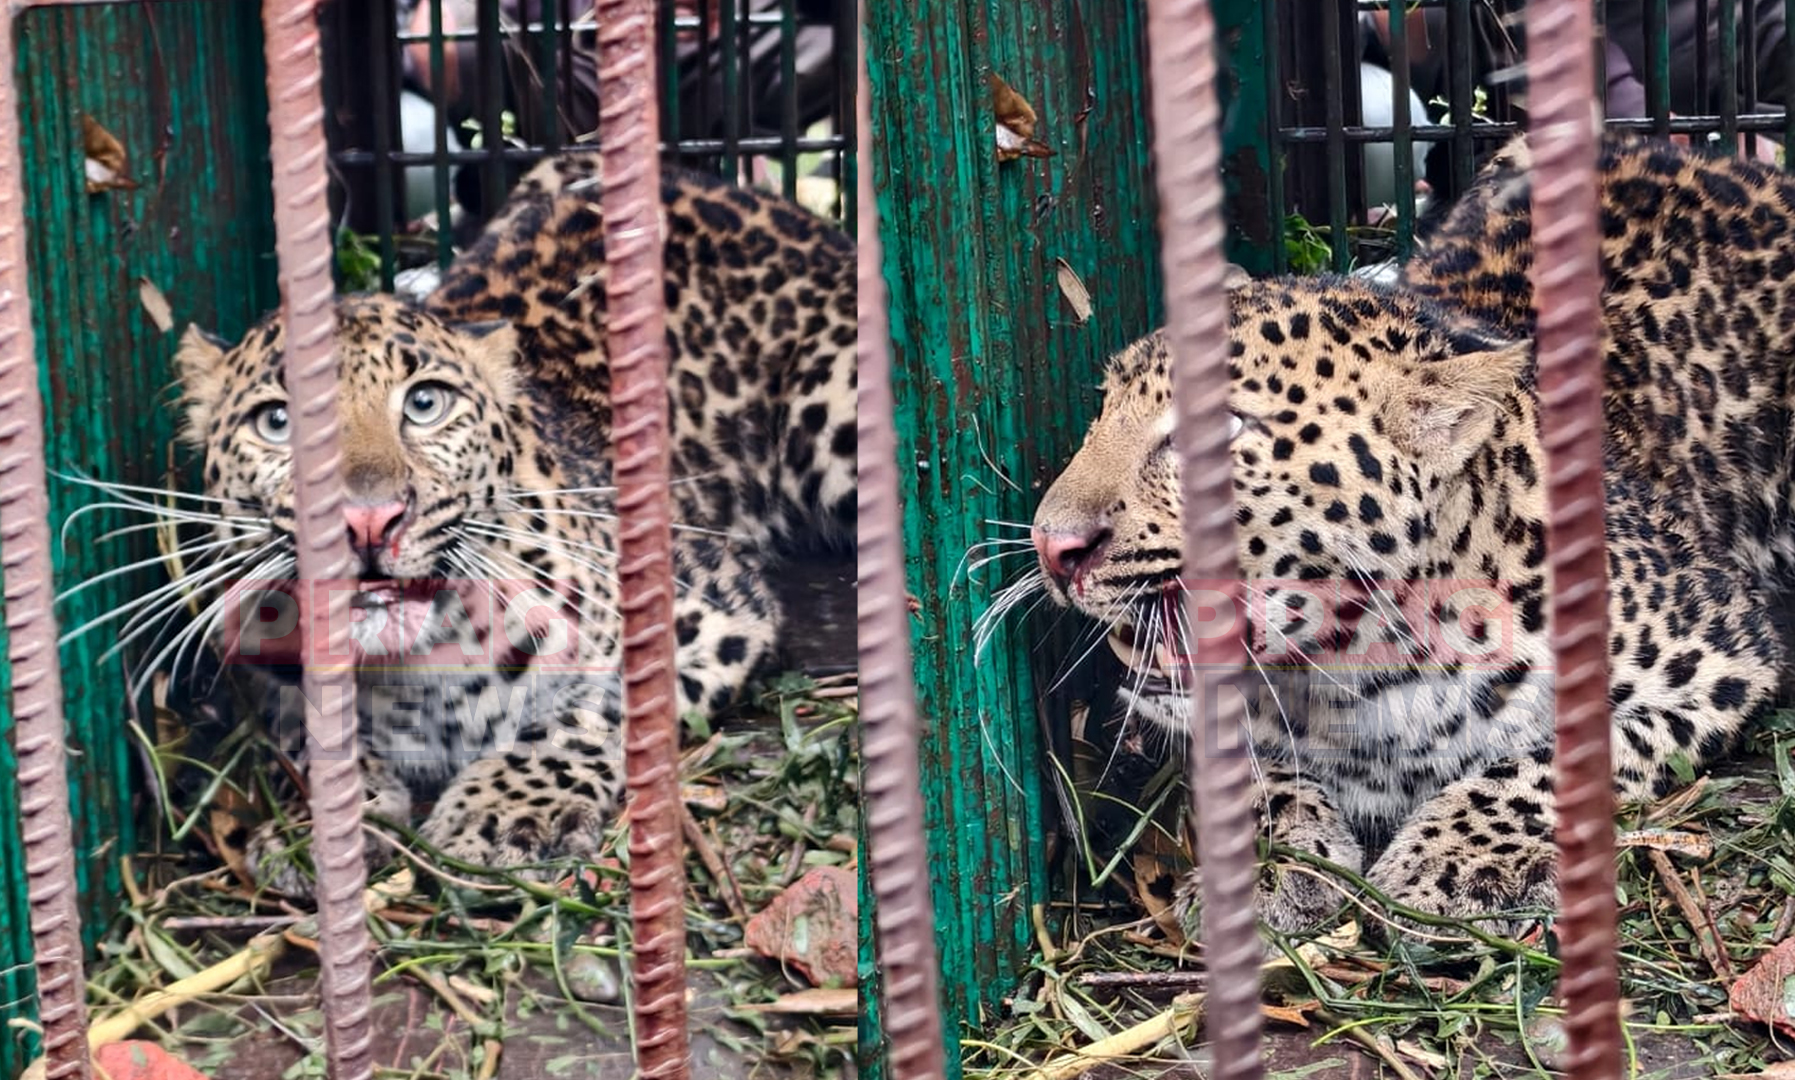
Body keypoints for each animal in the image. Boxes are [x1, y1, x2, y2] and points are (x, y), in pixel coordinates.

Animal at [157, 153, 855, 894]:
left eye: (425, 404)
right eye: (277, 422)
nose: (368, 520)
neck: (417, 676)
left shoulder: (717, 606)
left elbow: (599, 703)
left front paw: (505, 810)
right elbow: (313, 739)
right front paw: (310, 827)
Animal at [1025, 131, 1795, 941]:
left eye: (1223, 430)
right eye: (1102, 408)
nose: (1051, 546)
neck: (1363, 684)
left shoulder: (1727, 653)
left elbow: (1556, 756)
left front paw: (1452, 860)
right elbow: (1257, 768)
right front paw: (1271, 867)